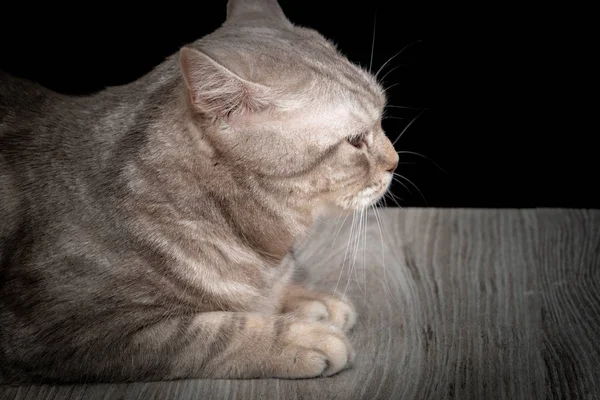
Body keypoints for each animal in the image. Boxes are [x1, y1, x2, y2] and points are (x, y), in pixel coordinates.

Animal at [2, 0, 400, 384]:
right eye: (355, 141)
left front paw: (306, 299)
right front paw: (297, 336)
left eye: (382, 114)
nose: (395, 162)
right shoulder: (80, 333)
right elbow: (211, 334)